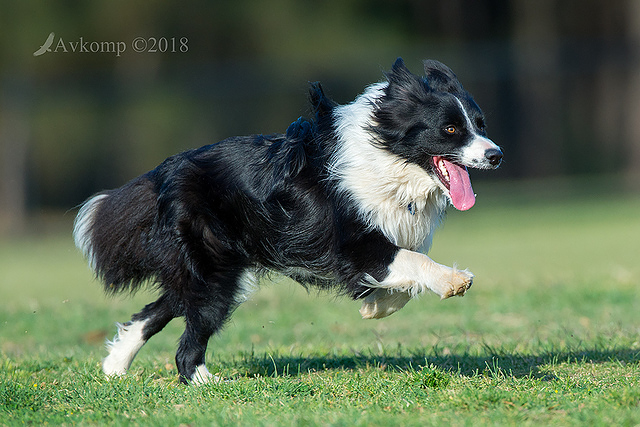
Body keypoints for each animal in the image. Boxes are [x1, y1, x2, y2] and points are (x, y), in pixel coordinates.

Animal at [75, 59, 502, 384]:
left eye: (481, 124)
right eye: (450, 129)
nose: (496, 155)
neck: (391, 161)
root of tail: (160, 174)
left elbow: (403, 277)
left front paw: (377, 306)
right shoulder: (354, 243)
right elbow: (413, 260)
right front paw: (452, 280)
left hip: (209, 268)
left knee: (159, 308)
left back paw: (115, 367)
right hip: (213, 268)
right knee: (189, 335)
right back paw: (206, 383)